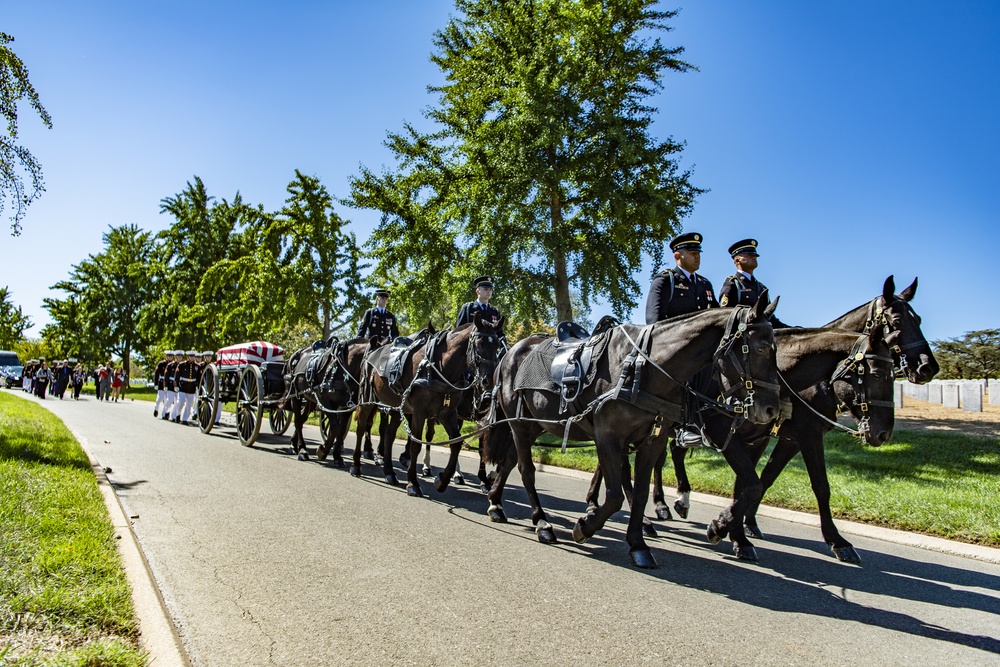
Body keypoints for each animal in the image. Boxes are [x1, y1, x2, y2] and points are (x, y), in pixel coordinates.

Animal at [354, 314, 508, 496]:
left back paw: (390, 473)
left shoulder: (449, 413)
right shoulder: (420, 412)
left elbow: (457, 443)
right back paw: (356, 465)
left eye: (497, 345)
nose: (488, 381)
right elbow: (416, 444)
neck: (439, 368)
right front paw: (413, 482)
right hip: (367, 401)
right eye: (479, 343)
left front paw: (443, 480)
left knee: (389, 434)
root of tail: (373, 349)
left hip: (398, 408)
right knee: (362, 427)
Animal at [482, 302, 780, 568]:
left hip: (536, 424)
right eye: (761, 348)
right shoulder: (608, 437)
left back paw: (496, 502)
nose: (771, 409)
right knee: (526, 470)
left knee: (509, 461)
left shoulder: (652, 440)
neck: (643, 368)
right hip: (519, 425)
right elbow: (614, 495)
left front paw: (639, 544)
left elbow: (639, 493)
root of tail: (511, 353)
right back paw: (541, 521)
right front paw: (585, 526)